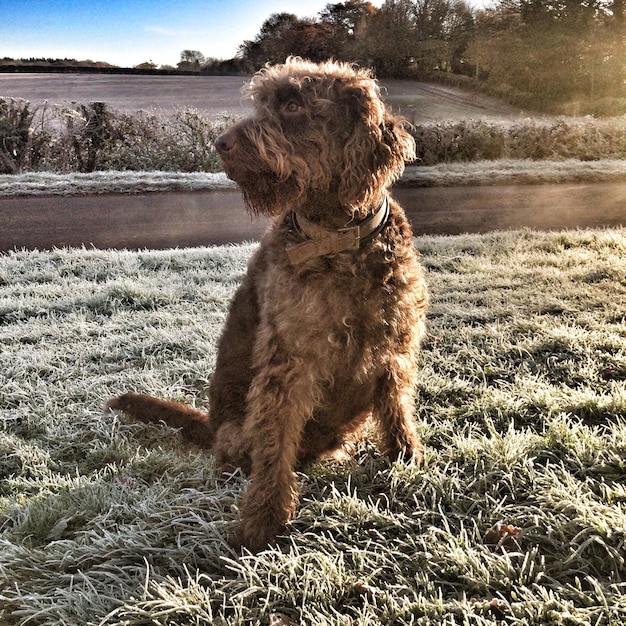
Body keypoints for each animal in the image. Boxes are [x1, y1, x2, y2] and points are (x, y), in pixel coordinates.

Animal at [108, 56, 428, 548]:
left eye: (293, 104)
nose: (220, 143)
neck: (338, 239)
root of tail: (211, 424)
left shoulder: (396, 345)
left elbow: (397, 413)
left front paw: (407, 460)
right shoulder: (289, 362)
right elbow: (275, 445)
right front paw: (263, 520)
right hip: (238, 434)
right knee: (246, 456)